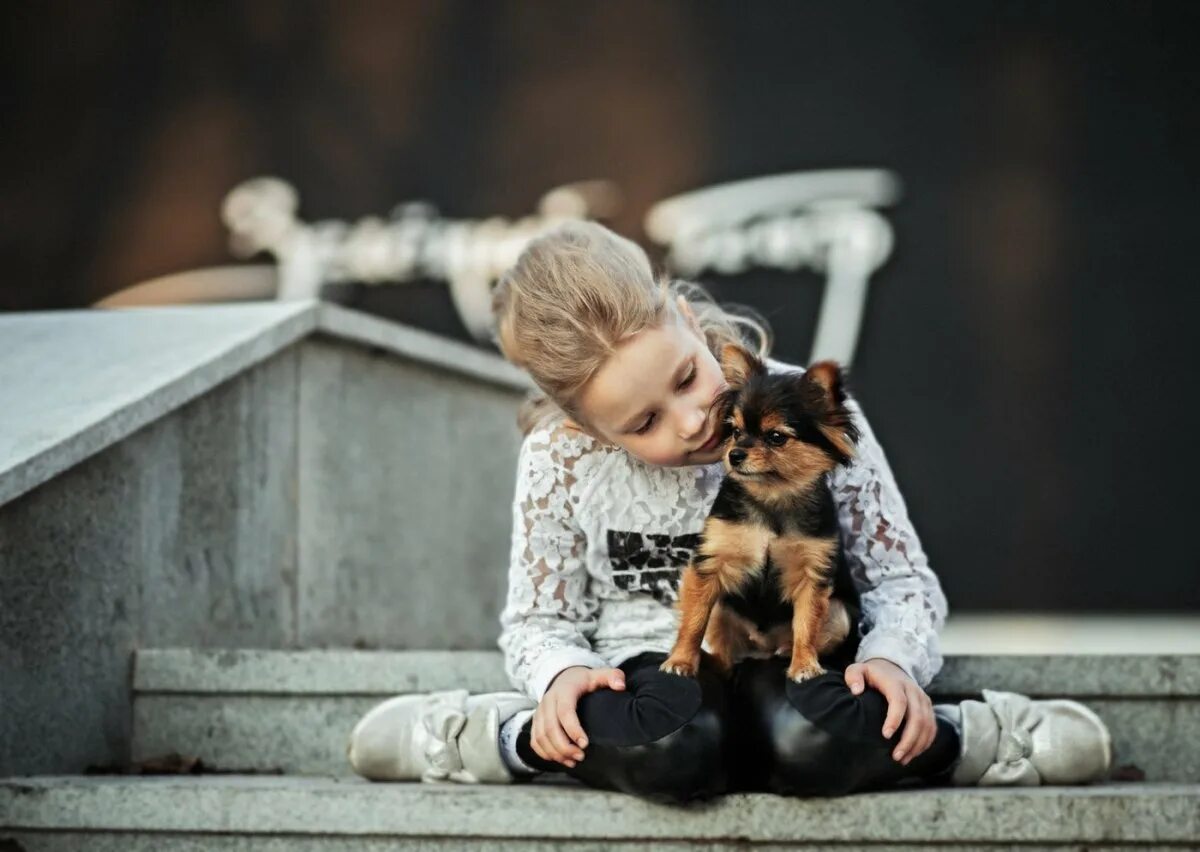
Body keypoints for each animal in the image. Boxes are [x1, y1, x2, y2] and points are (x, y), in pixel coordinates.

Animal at [657, 343, 864, 686]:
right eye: (734, 431)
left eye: (776, 437)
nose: (735, 454)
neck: (771, 498)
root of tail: (763, 649)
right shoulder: (710, 565)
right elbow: (694, 621)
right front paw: (681, 660)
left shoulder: (812, 576)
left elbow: (806, 625)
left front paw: (804, 665)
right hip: (724, 606)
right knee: (725, 658)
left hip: (839, 614)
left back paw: (786, 653)